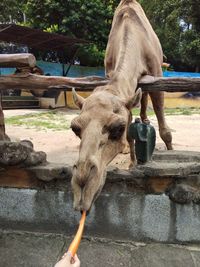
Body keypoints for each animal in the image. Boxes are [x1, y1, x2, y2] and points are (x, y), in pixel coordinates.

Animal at [70, 0, 172, 214]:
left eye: (117, 128)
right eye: (75, 128)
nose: (83, 184)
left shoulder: (157, 73)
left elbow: (163, 124)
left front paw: (170, 151)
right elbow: (131, 127)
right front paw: (132, 163)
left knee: (146, 97)